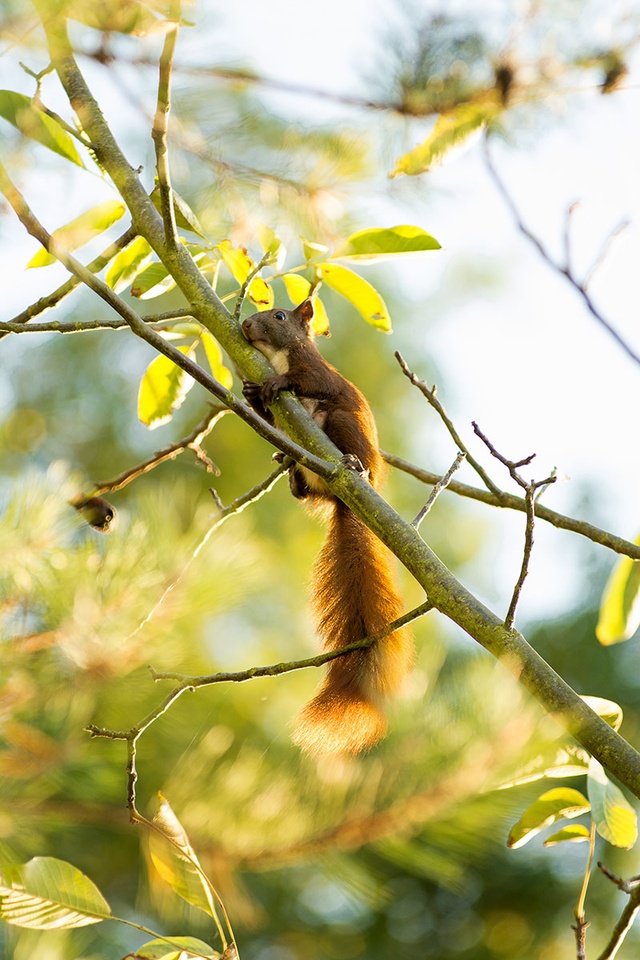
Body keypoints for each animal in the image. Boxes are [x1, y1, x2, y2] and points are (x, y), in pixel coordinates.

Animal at [241, 296, 416, 752]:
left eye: (279, 316)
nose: (246, 324)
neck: (276, 357)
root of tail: (345, 498)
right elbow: (263, 412)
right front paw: (250, 392)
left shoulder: (317, 372)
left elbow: (309, 382)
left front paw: (276, 384)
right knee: (305, 489)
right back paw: (292, 475)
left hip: (340, 423)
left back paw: (353, 465)